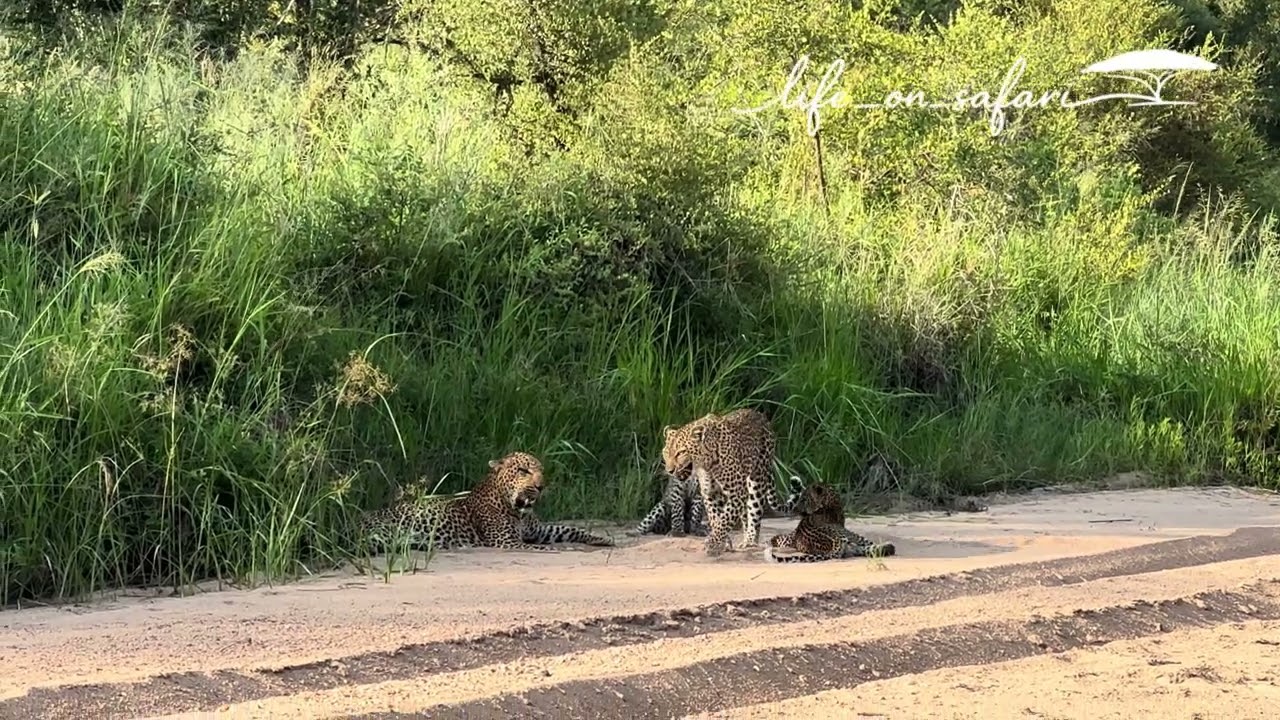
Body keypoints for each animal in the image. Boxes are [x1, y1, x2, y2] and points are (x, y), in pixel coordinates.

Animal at [357, 451, 614, 552]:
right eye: (523, 471)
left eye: (541, 470)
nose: (541, 486)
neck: (518, 509)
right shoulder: (508, 541)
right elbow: (539, 546)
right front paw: (560, 549)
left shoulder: (538, 530)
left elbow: (569, 528)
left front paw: (602, 538)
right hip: (384, 533)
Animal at [763, 482, 895, 563]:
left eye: (804, 499)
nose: (795, 509)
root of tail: (833, 546)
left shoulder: (791, 537)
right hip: (851, 536)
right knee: (870, 547)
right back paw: (889, 546)